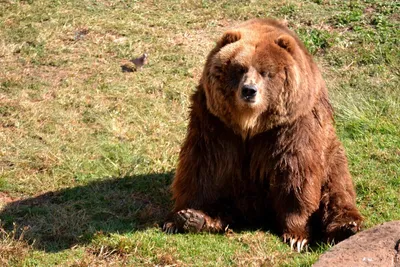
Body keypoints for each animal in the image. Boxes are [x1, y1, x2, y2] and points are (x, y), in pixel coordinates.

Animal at [162, 18, 362, 253]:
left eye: (266, 72)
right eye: (239, 68)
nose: (249, 90)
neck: (250, 124)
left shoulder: (292, 125)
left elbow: (296, 171)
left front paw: (297, 236)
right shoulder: (215, 122)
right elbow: (203, 165)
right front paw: (182, 216)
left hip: (330, 153)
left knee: (337, 187)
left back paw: (347, 227)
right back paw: (198, 219)